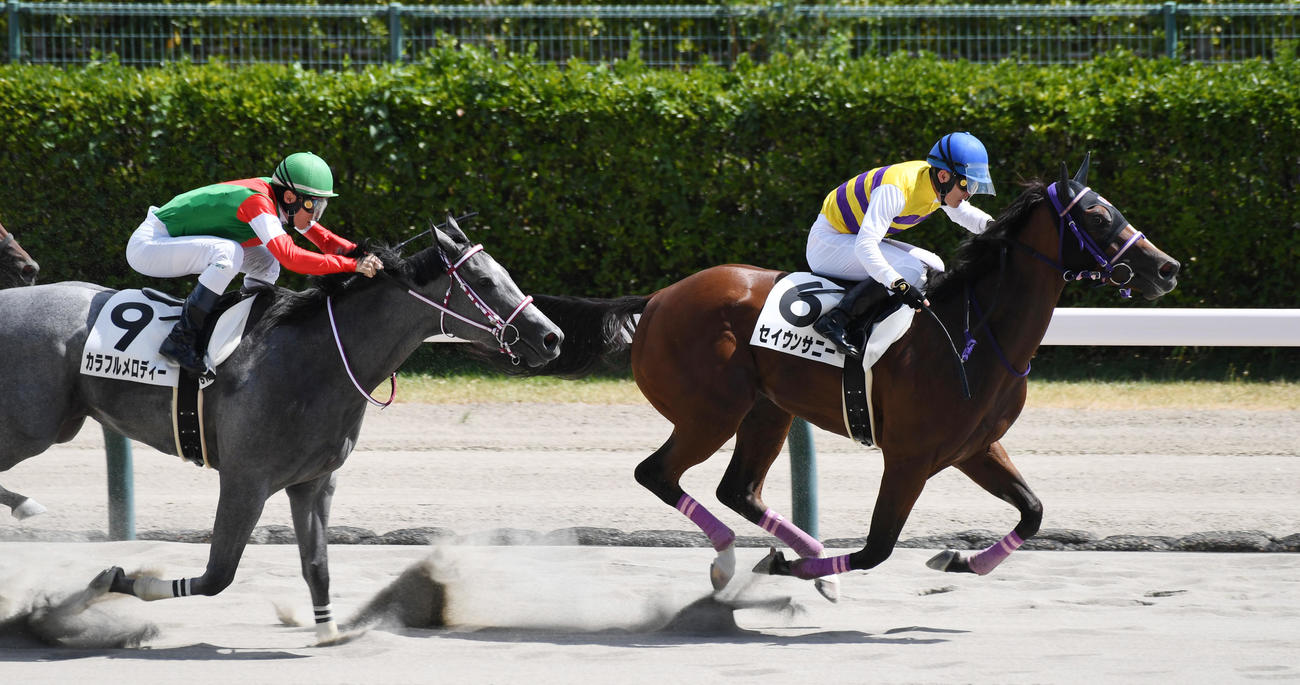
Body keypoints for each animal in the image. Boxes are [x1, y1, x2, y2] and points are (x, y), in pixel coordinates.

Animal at [0, 221, 563, 642]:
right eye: (485, 283)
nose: (551, 337)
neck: (317, 358)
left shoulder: (312, 482)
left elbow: (318, 566)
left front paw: (329, 632)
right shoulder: (245, 481)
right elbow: (217, 575)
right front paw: (111, 580)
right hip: (33, 427)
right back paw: (27, 506)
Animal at [511, 155, 1180, 598]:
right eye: (1096, 216)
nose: (1167, 267)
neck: (973, 335)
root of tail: (656, 299)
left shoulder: (974, 448)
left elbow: (1034, 512)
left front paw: (958, 561)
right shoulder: (909, 458)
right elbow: (877, 548)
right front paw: (790, 569)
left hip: (768, 409)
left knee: (738, 489)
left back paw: (802, 551)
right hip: (711, 412)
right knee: (658, 474)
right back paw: (738, 561)